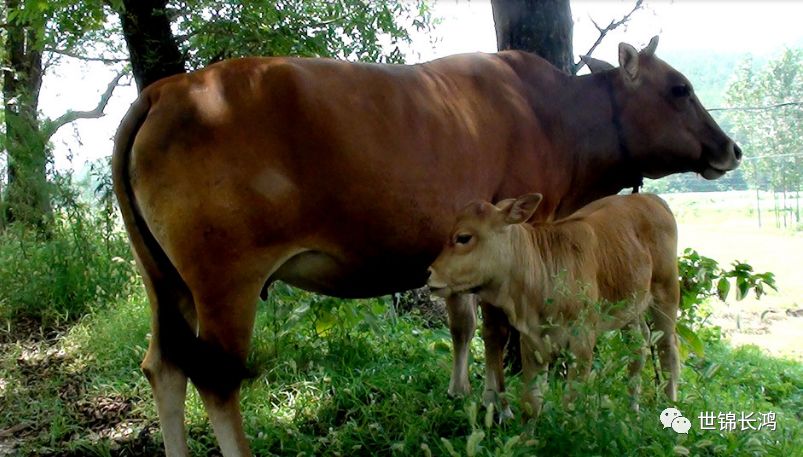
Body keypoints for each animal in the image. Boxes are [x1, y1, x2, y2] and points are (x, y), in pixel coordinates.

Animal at [428, 192, 680, 416]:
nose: (430, 273)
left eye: (463, 237)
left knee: (667, 348)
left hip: (666, 294)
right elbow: (531, 401)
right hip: (630, 306)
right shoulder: (532, 340)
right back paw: (632, 409)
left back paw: (668, 404)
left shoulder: (582, 340)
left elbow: (572, 399)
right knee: (639, 345)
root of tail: (650, 198)